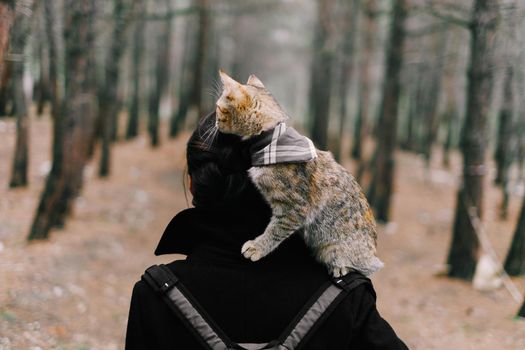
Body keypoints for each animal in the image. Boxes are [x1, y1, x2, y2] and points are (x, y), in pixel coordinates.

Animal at [213, 71, 380, 278]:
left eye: (218, 108)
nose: (214, 122)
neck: (269, 141)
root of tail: (372, 256)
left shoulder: (295, 209)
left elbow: (275, 230)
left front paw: (258, 247)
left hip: (336, 249)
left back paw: (341, 267)